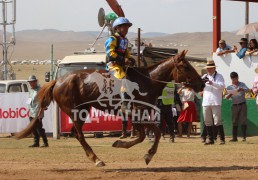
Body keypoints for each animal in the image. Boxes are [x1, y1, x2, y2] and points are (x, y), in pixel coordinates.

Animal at [16, 50, 206, 167]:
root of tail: (58, 81)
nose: (202, 83)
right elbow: (155, 133)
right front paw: (147, 154)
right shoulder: (138, 114)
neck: (147, 81)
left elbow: (145, 135)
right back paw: (96, 159)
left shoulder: (136, 115)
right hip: (76, 113)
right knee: (78, 134)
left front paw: (123, 144)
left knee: (76, 133)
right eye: (185, 66)